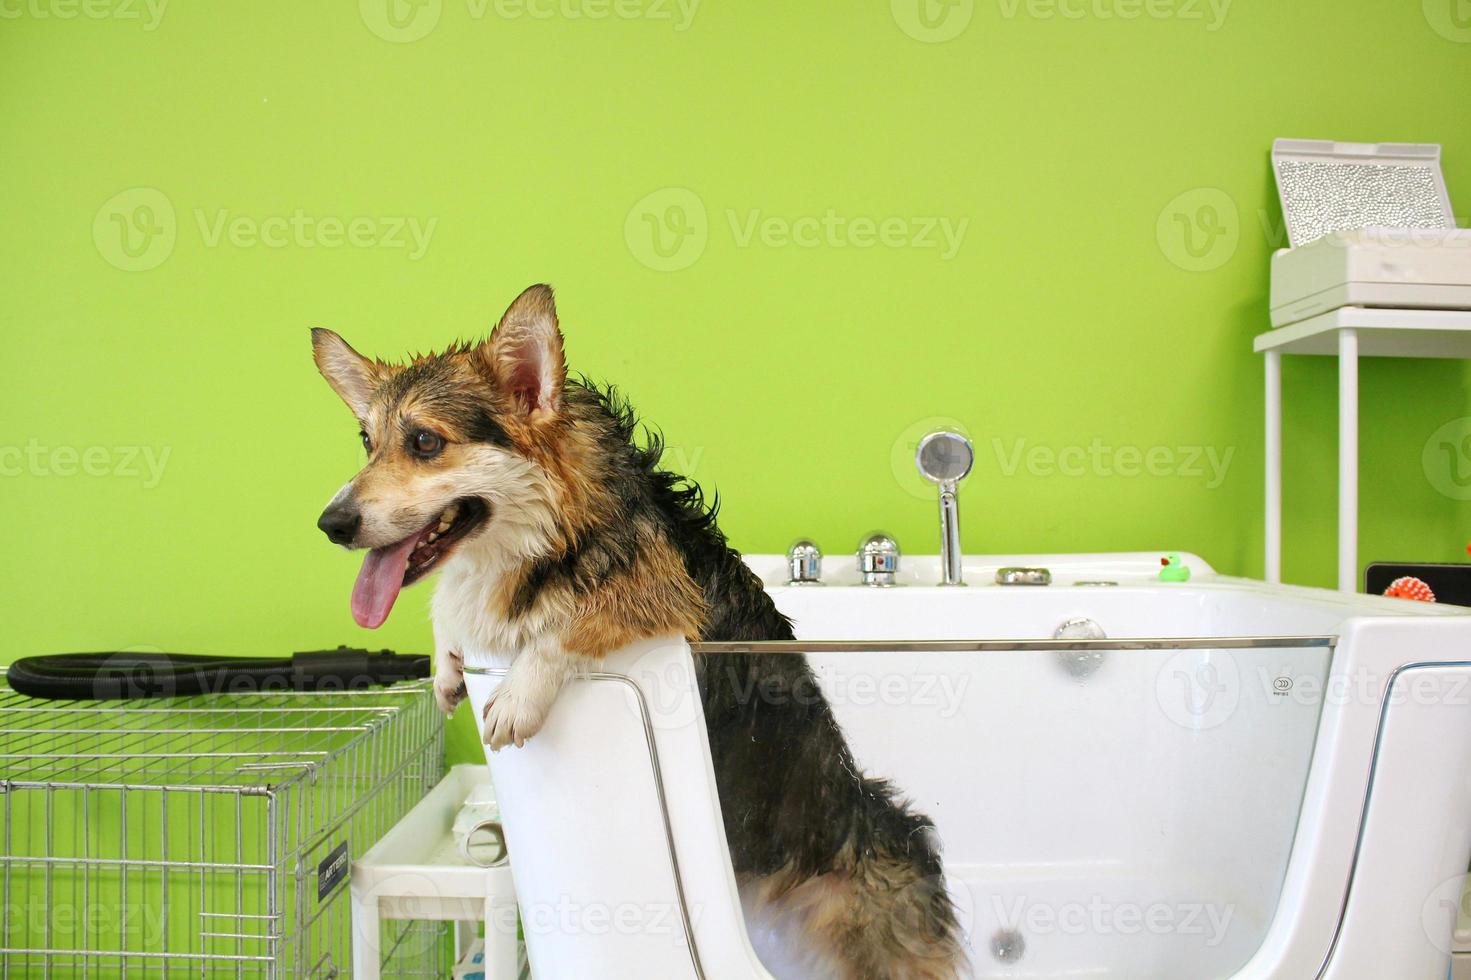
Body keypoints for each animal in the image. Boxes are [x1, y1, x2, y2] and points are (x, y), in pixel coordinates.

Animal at [313, 283, 964, 977]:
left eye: (424, 442)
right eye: (367, 441)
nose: (330, 524)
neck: (556, 528)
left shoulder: (663, 596)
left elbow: (569, 622)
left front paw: (516, 694)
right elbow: (453, 605)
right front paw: (448, 662)